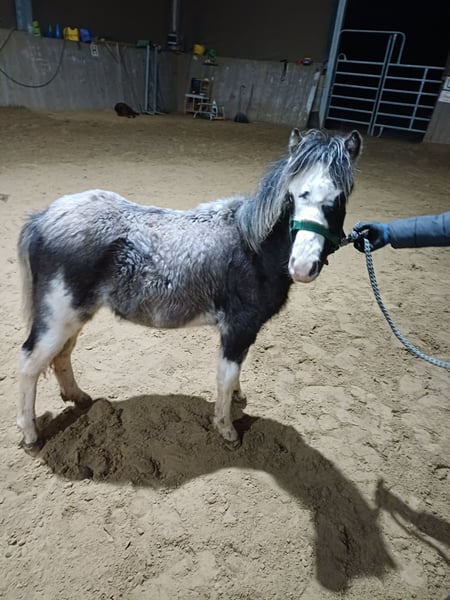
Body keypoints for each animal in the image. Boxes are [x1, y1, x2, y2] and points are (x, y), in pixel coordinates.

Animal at [16, 127, 362, 452]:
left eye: (339, 199)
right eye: (291, 198)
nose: (302, 266)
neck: (251, 247)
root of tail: (42, 219)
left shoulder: (243, 332)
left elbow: (235, 372)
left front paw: (238, 397)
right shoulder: (237, 328)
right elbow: (224, 377)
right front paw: (226, 429)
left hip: (75, 316)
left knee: (61, 355)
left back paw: (78, 397)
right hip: (58, 318)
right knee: (29, 363)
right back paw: (31, 435)